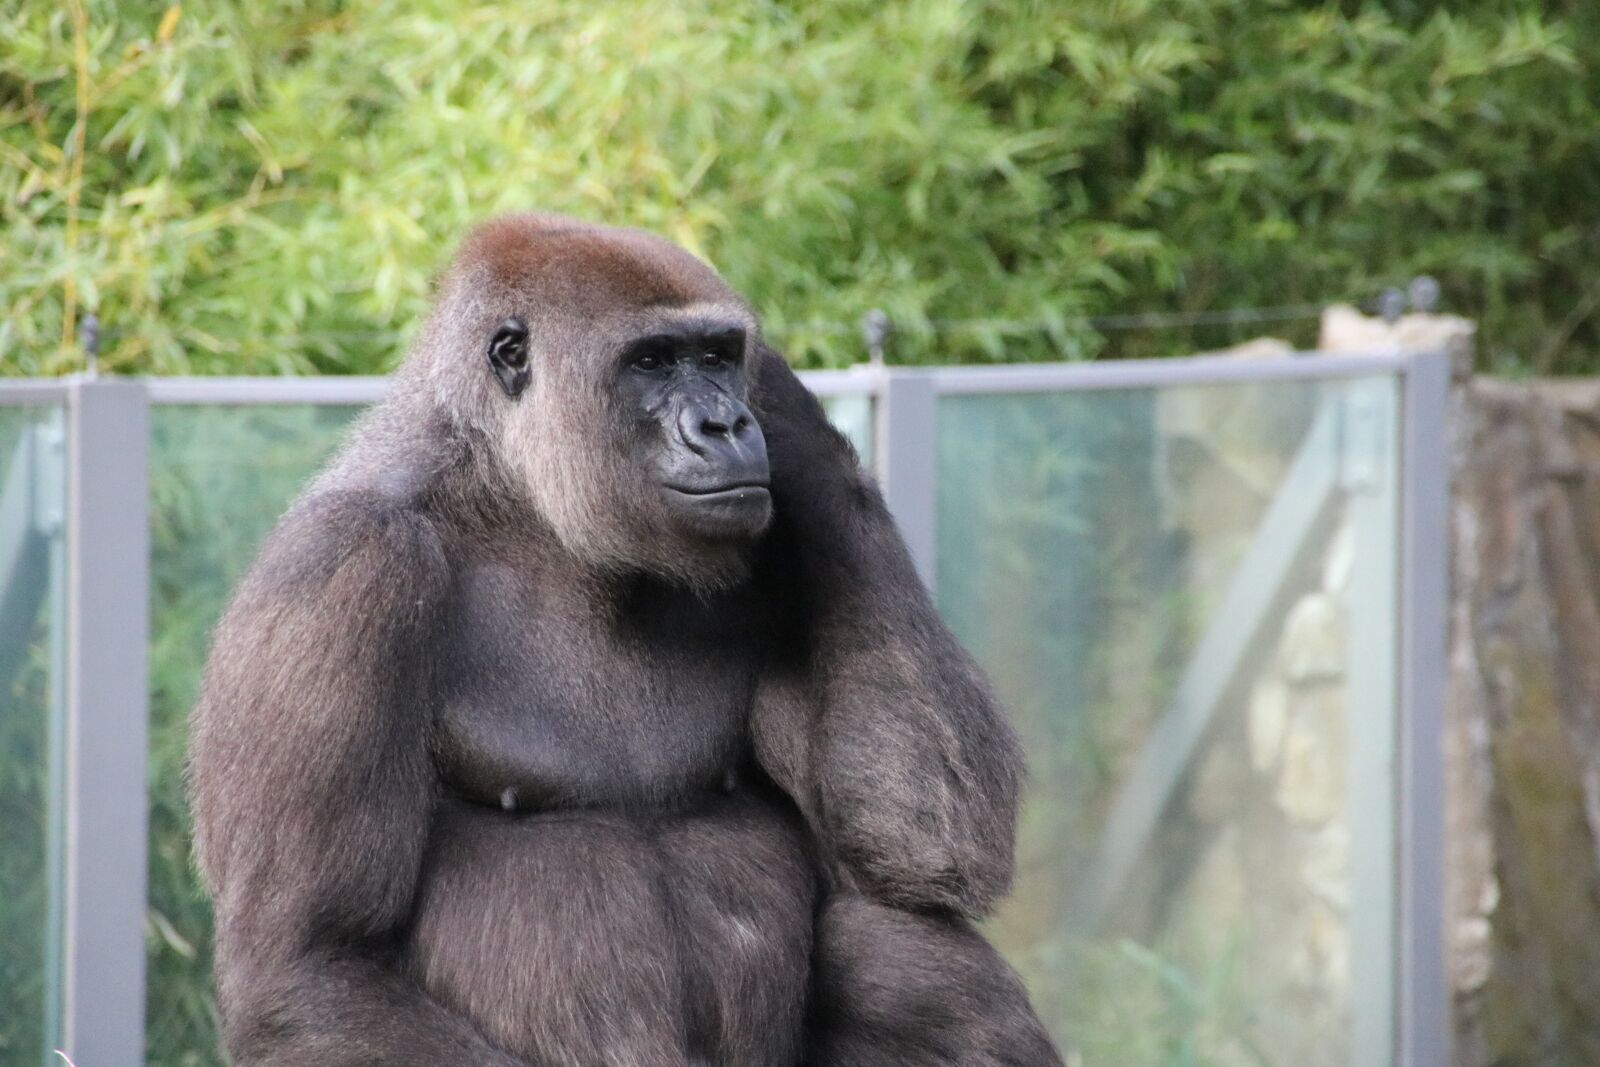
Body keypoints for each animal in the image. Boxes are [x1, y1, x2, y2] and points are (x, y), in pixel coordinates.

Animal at [188, 213, 1062, 1067]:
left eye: (718, 356)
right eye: (650, 361)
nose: (727, 421)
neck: (522, 502)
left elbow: (915, 843)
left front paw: (798, 425)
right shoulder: (344, 569)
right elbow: (314, 961)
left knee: (899, 939)